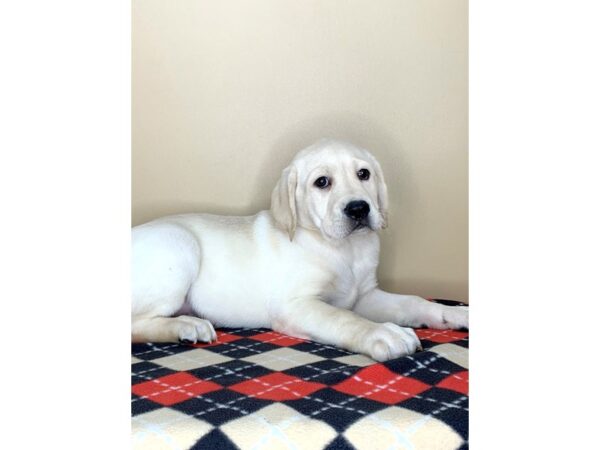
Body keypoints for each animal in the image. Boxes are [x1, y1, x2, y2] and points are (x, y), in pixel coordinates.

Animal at [132, 139, 468, 360]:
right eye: (322, 182)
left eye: (364, 174)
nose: (359, 208)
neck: (343, 250)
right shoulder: (296, 305)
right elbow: (344, 319)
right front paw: (383, 333)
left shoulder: (364, 296)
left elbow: (413, 301)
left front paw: (453, 313)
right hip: (179, 245)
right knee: (135, 325)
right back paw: (185, 326)